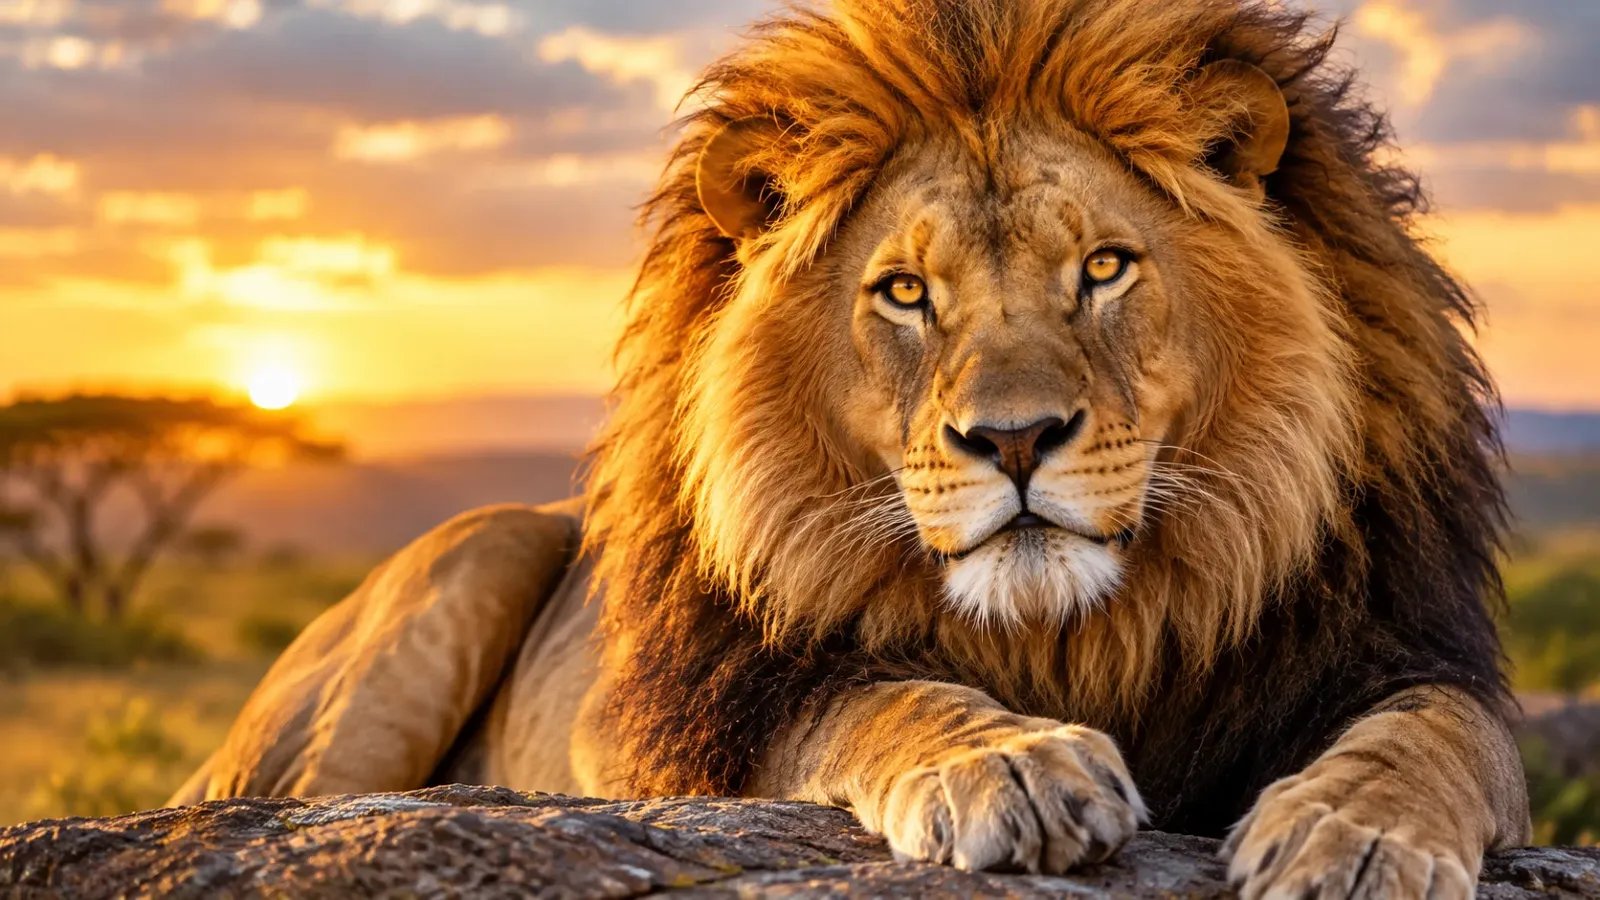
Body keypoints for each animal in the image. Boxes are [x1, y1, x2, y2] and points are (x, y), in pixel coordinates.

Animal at [173, 1, 1531, 896]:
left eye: (1103, 268)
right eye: (904, 293)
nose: (1013, 439)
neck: (1071, 636)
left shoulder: (1389, 644)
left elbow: (1437, 735)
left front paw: (1354, 838)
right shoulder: (725, 715)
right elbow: (882, 697)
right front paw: (1013, 765)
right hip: (466, 565)